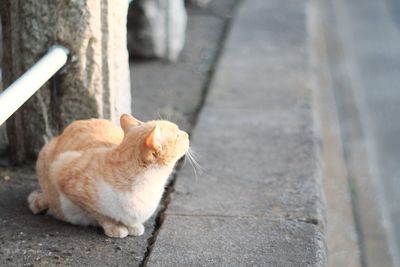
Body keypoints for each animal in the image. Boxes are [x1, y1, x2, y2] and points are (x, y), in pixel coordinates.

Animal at [27, 114, 190, 239]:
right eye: (177, 135)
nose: (187, 134)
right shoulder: (62, 169)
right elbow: (99, 214)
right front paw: (114, 226)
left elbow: (131, 220)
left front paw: (134, 226)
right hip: (46, 156)